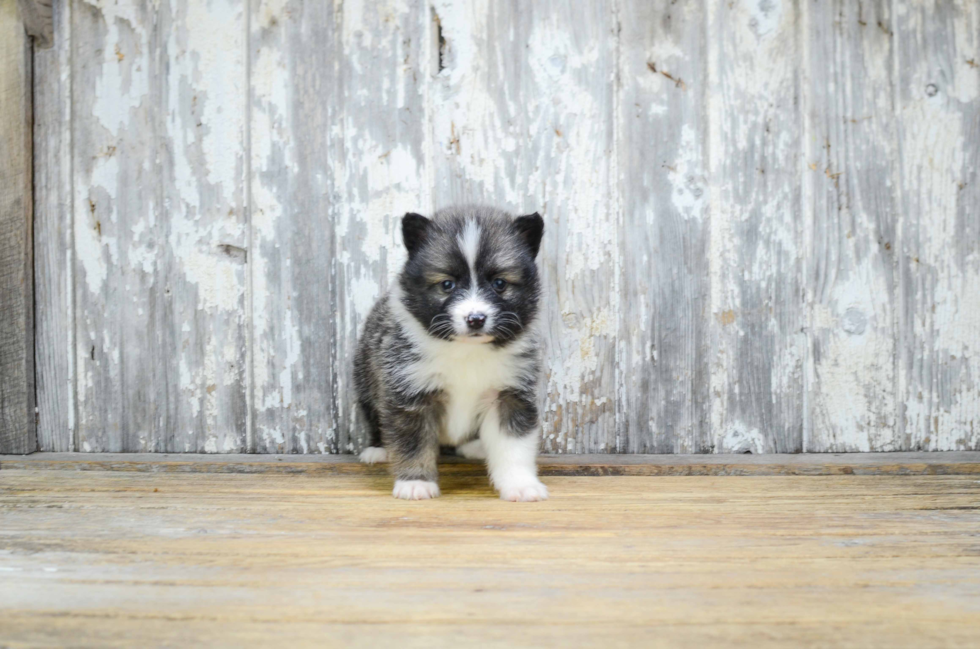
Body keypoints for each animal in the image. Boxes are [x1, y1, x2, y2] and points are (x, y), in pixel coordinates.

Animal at [354, 204, 552, 502]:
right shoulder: (410, 393)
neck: (465, 349)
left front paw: (520, 484)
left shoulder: (510, 394)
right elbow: (412, 443)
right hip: (365, 379)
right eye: (447, 285)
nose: (476, 319)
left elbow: (513, 447)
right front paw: (415, 482)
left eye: (499, 283)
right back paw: (378, 449)